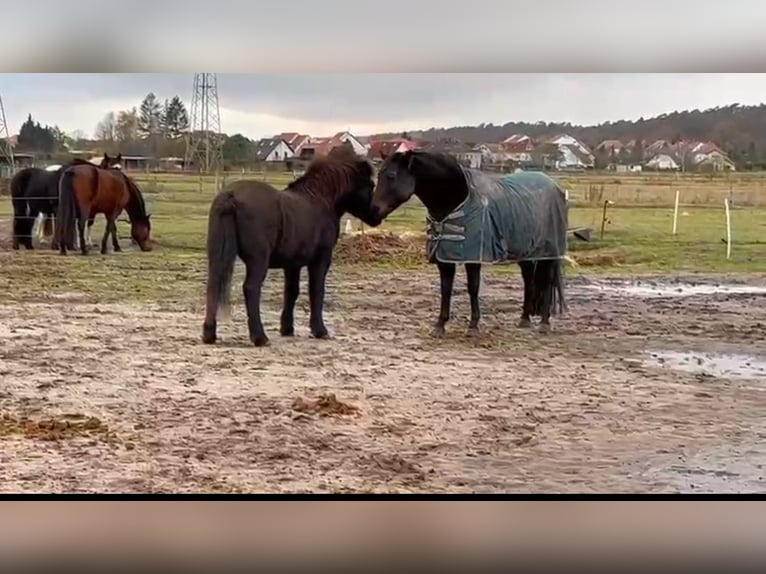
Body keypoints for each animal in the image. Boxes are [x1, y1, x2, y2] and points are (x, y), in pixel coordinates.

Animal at [204, 146, 384, 348]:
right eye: (370, 185)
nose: (378, 214)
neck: (320, 199)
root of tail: (231, 195)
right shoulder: (321, 259)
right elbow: (316, 291)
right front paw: (319, 330)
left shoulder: (292, 264)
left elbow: (291, 292)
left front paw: (287, 329)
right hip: (258, 259)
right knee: (251, 288)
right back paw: (260, 337)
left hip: (217, 255)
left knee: (213, 285)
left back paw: (209, 334)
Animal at [372, 150, 568, 338]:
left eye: (391, 176)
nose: (373, 210)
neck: (457, 198)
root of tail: (554, 185)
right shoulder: (444, 257)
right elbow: (445, 289)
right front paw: (440, 326)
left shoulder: (473, 257)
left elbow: (473, 288)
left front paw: (473, 326)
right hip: (526, 251)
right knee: (528, 279)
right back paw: (525, 319)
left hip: (549, 253)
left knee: (547, 282)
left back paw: (544, 323)